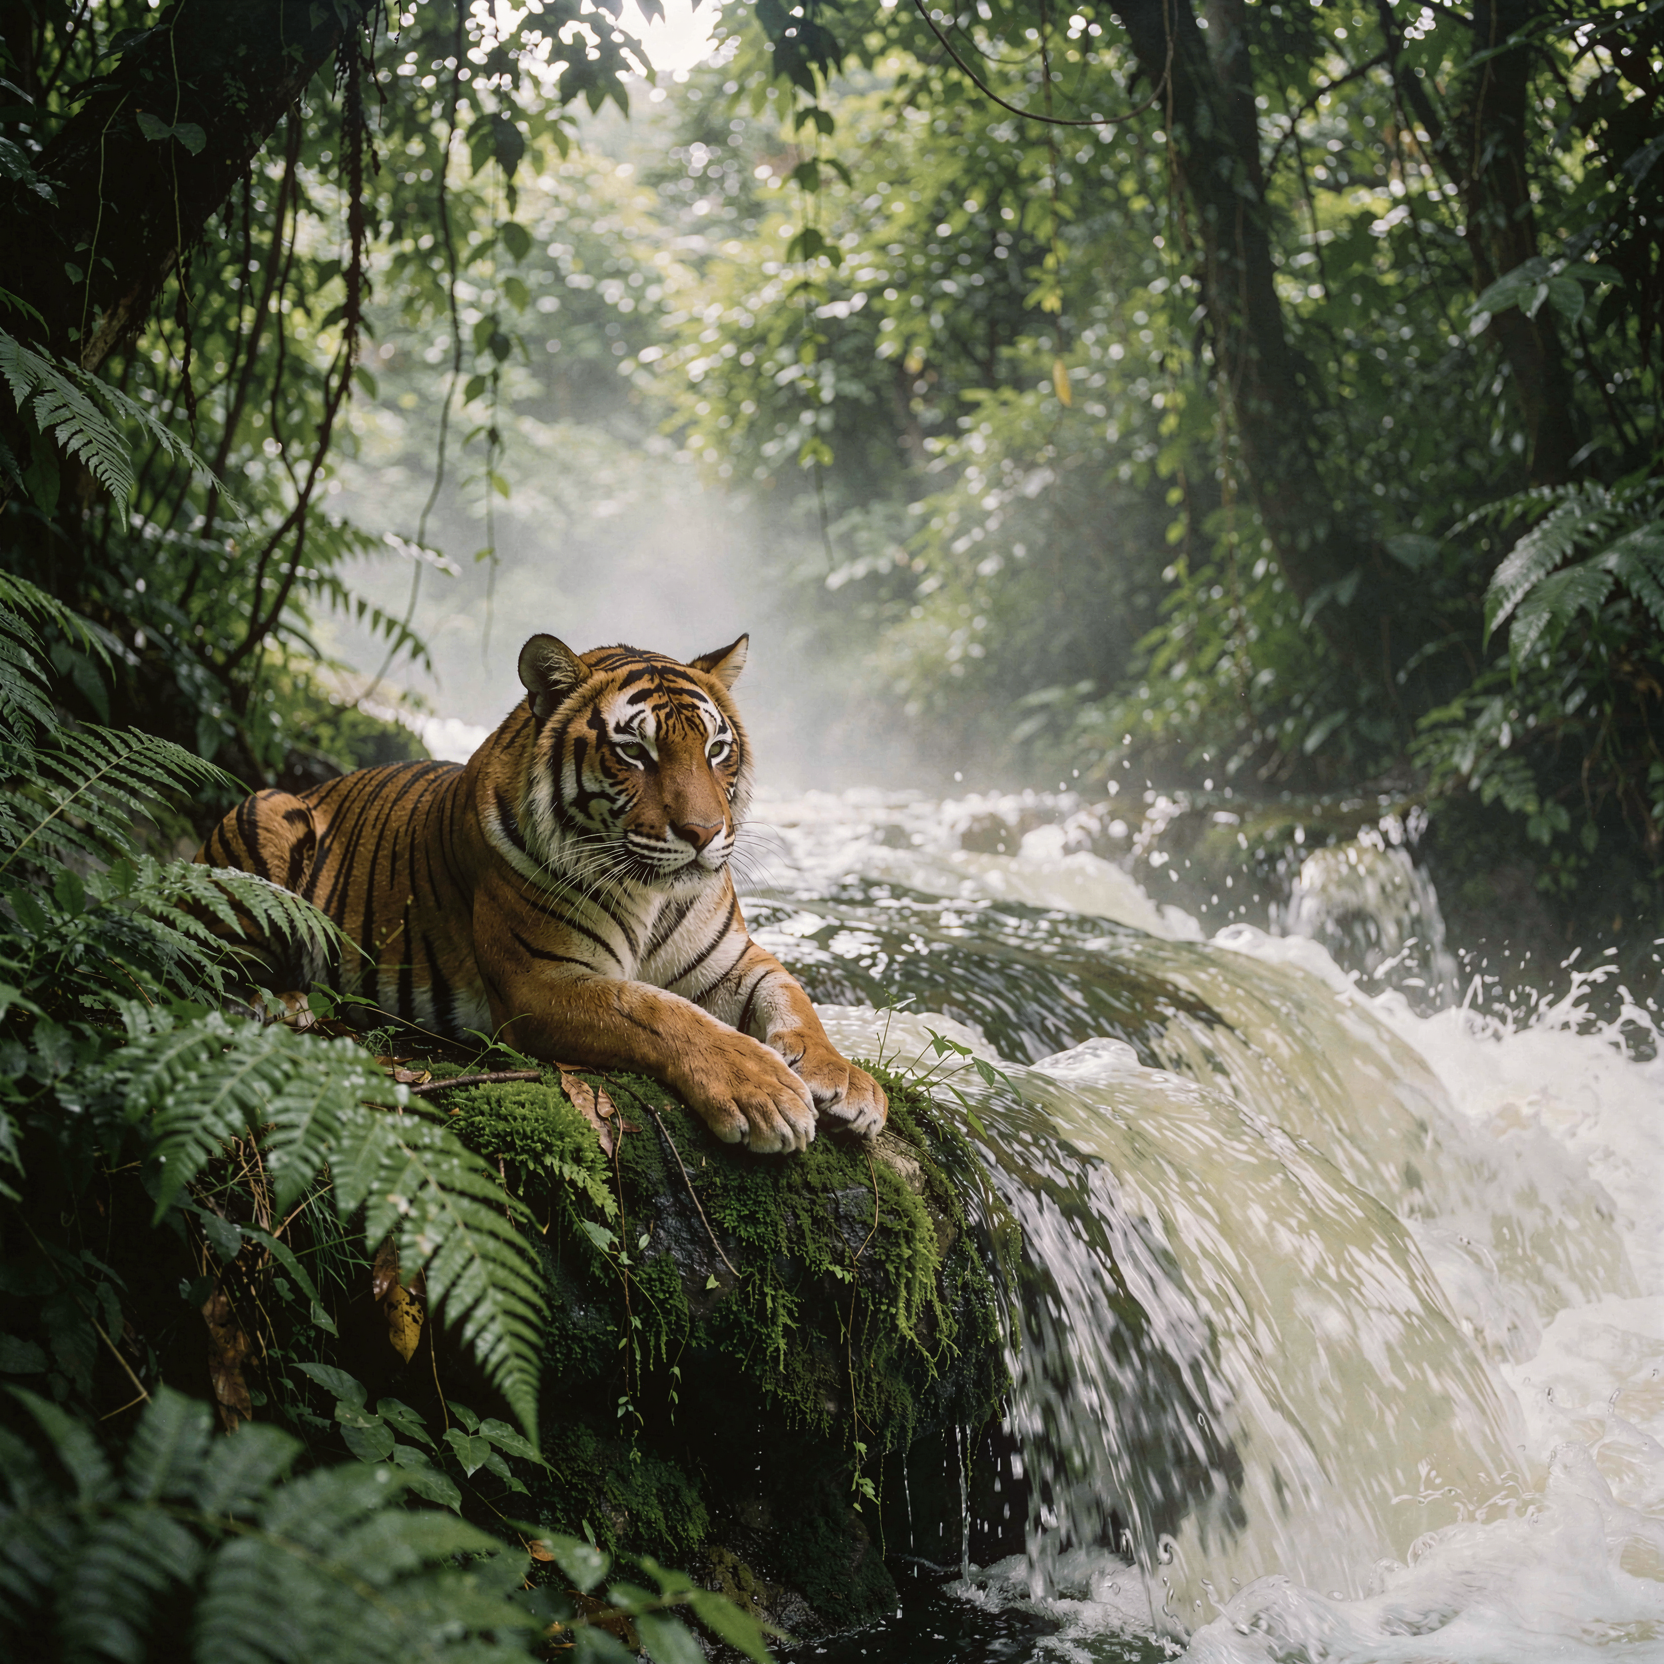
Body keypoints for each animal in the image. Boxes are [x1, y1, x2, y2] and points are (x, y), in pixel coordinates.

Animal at [195, 633, 886, 1154]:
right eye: (634, 751)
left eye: (717, 749)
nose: (703, 833)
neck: (655, 894)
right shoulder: (542, 982)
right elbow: (661, 1013)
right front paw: (761, 1090)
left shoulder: (734, 959)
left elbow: (795, 1000)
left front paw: (847, 1082)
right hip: (267, 817)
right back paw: (284, 1003)